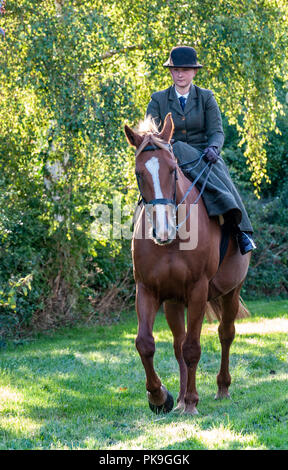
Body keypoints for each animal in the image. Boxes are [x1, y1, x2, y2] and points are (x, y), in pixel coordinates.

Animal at [125, 114, 251, 414]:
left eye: (173, 170)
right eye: (138, 173)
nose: (163, 230)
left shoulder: (197, 290)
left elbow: (193, 347)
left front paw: (193, 401)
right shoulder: (147, 290)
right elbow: (145, 344)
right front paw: (161, 397)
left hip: (231, 291)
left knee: (225, 334)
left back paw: (221, 388)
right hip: (173, 301)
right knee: (177, 343)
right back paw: (181, 398)